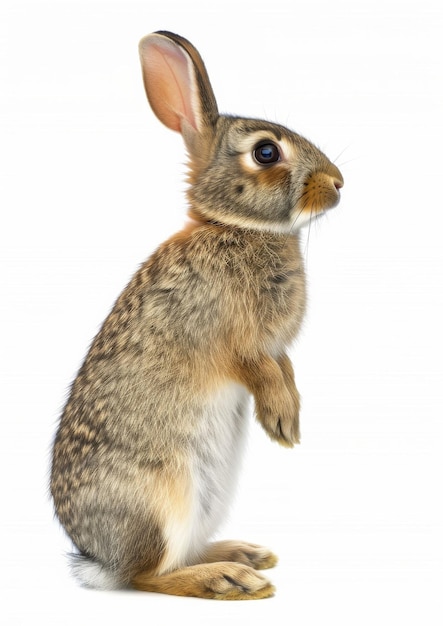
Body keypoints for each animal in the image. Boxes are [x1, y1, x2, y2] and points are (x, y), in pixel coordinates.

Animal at [50, 30, 346, 600]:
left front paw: (291, 416)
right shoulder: (235, 339)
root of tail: (100, 560)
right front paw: (281, 420)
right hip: (162, 500)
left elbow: (284, 369)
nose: (339, 182)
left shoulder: (277, 349)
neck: (239, 228)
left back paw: (244, 555)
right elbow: (258, 369)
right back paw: (229, 580)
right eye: (266, 151)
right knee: (148, 576)